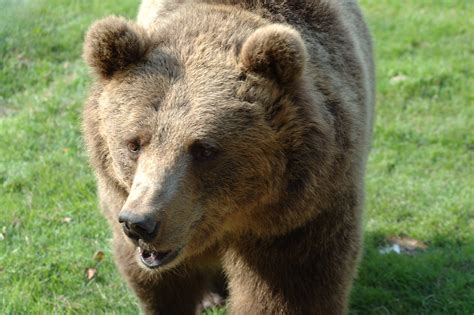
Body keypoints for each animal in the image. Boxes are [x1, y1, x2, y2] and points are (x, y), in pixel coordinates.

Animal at [83, 1, 376, 314]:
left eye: (204, 149)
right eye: (134, 143)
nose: (139, 223)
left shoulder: (300, 216)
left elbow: (289, 291)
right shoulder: (122, 199)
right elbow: (160, 286)